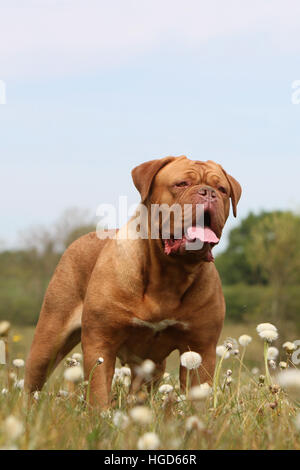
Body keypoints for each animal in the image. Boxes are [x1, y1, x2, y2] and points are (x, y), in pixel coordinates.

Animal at [25, 156, 241, 406]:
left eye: (223, 190)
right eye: (182, 184)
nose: (208, 193)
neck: (170, 273)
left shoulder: (200, 347)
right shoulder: (101, 342)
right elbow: (98, 393)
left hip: (151, 368)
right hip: (48, 339)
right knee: (33, 379)